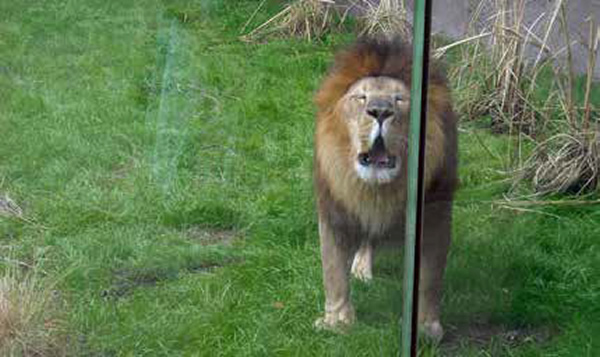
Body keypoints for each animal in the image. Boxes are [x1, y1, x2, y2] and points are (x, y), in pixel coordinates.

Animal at [312, 37, 458, 340]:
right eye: (361, 98)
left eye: (400, 99)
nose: (380, 111)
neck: (377, 190)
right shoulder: (334, 210)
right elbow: (333, 272)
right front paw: (336, 321)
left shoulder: (435, 216)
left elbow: (429, 278)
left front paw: (425, 328)